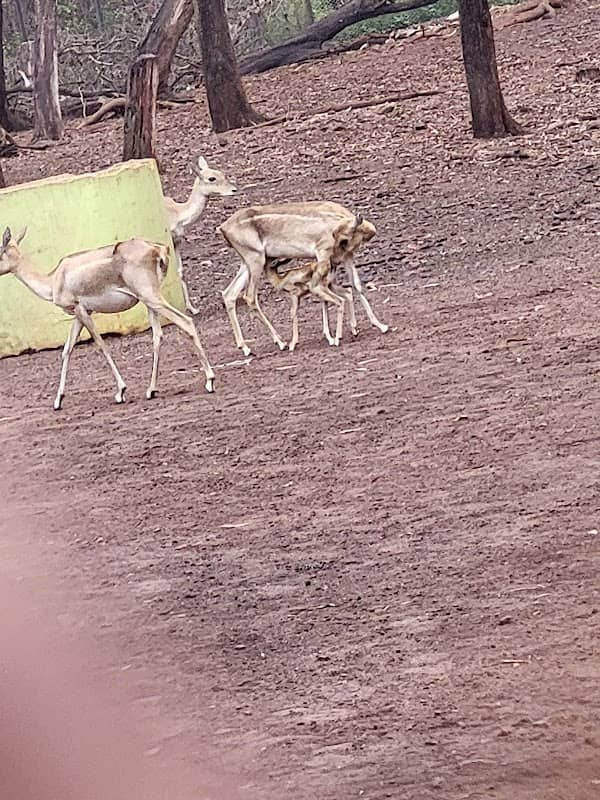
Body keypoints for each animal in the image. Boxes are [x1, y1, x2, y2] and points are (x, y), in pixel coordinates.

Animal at [0, 227, 215, 410]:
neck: (54, 281)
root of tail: (157, 249)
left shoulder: (80, 310)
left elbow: (101, 344)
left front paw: (121, 391)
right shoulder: (81, 313)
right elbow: (67, 350)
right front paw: (58, 400)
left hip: (151, 298)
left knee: (186, 322)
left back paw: (209, 381)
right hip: (150, 301)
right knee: (158, 335)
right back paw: (151, 390)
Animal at [164, 156, 237, 316]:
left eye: (222, 173)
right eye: (211, 178)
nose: (234, 189)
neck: (178, 215)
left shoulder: (177, 241)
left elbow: (180, 272)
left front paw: (193, 309)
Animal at [218, 201, 387, 356]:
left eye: (344, 240)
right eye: (338, 238)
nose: (334, 262)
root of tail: (223, 227)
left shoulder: (348, 255)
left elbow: (356, 285)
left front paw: (377, 326)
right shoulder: (322, 252)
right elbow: (321, 293)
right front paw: (333, 337)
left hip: (247, 263)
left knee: (229, 294)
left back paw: (246, 348)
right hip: (255, 260)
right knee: (249, 296)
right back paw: (281, 342)